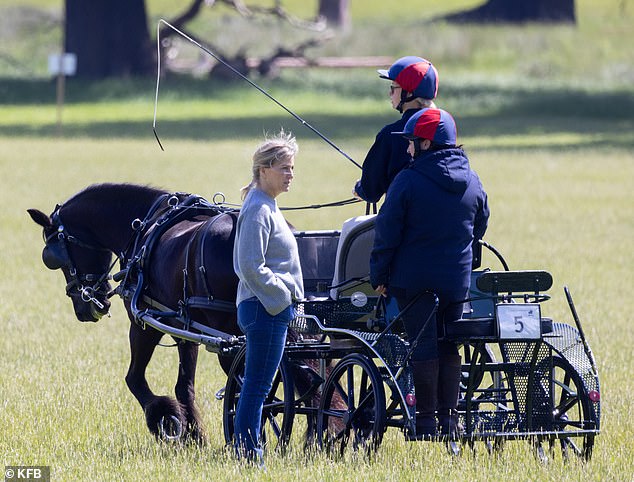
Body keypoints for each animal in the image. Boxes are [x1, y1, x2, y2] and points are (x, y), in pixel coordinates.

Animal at [27, 182, 314, 444]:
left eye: (53, 258)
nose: (86, 308)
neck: (144, 226)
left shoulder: (144, 323)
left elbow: (134, 378)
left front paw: (168, 421)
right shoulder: (186, 328)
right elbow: (184, 386)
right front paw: (194, 435)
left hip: (232, 336)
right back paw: (315, 437)